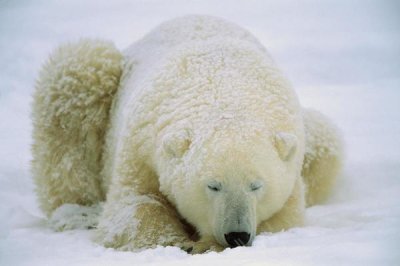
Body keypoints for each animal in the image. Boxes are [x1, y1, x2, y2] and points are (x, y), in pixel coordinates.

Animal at [32, 15, 342, 252]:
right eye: (213, 185)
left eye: (256, 185)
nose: (237, 236)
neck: (226, 88)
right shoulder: (141, 144)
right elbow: (135, 203)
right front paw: (178, 242)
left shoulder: (291, 159)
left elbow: (284, 217)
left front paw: (205, 243)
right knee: (77, 77)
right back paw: (77, 213)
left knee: (326, 141)